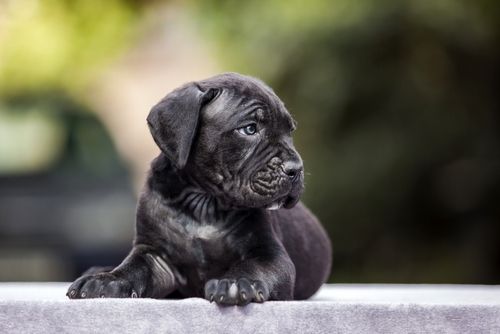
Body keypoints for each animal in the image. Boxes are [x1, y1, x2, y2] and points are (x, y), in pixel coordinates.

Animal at [66, 73, 332, 306]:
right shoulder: (154, 254)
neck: (205, 202)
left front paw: (236, 282)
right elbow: (133, 268)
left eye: (290, 131)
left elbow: (254, 266)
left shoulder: (269, 254)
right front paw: (107, 280)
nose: (296, 169)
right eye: (249, 129)